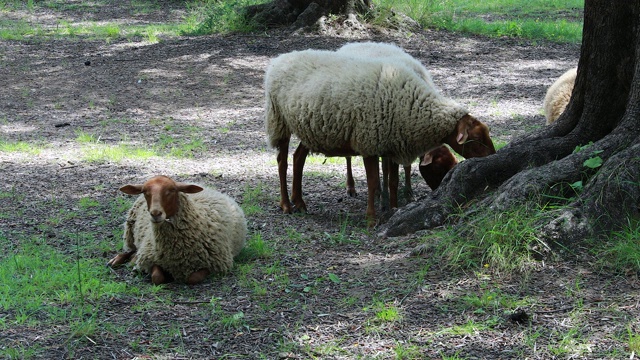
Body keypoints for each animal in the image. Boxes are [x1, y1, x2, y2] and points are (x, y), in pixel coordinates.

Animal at [106, 176, 246, 286]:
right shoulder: (151, 256)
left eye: (172, 190)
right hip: (131, 235)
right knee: (131, 250)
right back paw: (117, 261)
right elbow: (157, 277)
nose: (155, 214)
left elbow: (192, 278)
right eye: (144, 191)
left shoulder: (215, 264)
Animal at [264, 46, 496, 224]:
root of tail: (281, 58)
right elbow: (374, 182)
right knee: (282, 161)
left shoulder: (391, 142)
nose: (493, 157)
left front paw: (392, 209)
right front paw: (371, 218)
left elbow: (392, 180)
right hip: (279, 120)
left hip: (311, 128)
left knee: (298, 157)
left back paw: (300, 202)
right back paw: (286, 204)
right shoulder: (369, 142)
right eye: (477, 139)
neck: (412, 106)